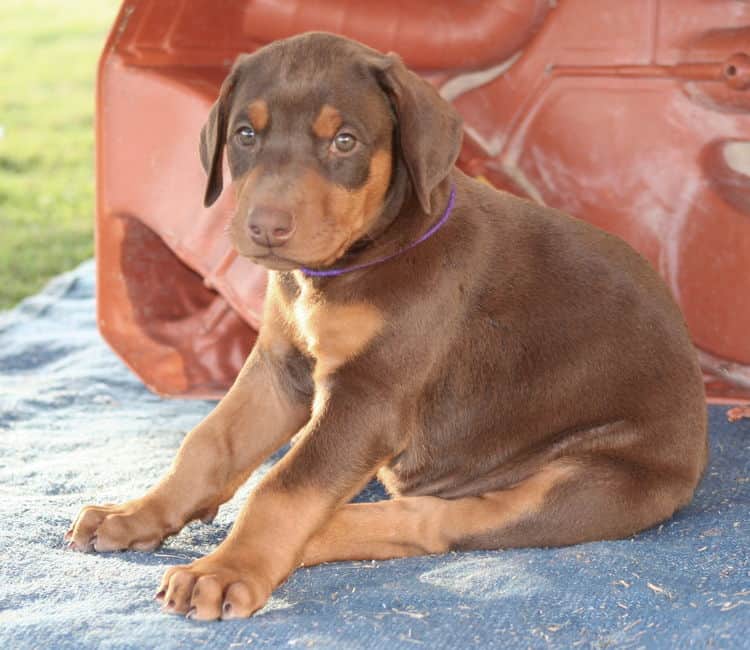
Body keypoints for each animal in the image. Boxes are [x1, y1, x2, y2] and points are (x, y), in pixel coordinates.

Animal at [67, 33, 708, 620]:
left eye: (344, 141)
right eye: (245, 135)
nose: (266, 227)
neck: (345, 267)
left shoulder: (369, 397)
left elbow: (283, 487)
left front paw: (226, 570)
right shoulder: (281, 369)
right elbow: (209, 442)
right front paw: (137, 513)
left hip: (587, 483)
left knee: (435, 523)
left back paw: (316, 536)